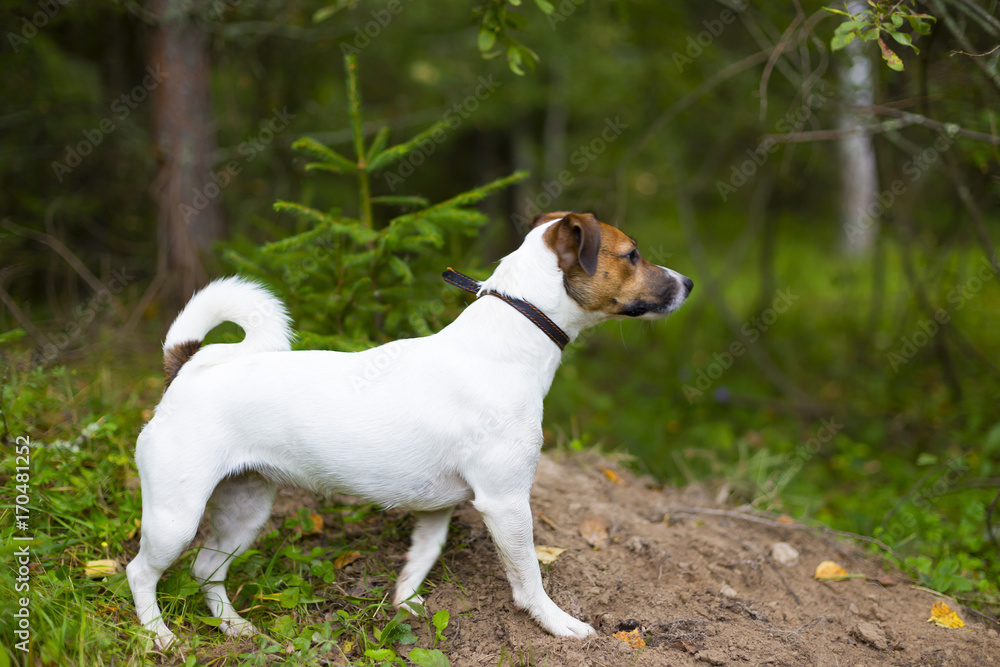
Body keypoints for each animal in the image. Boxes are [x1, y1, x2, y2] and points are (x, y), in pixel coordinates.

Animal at [125, 211, 692, 648]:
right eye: (633, 255)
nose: (687, 284)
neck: (509, 338)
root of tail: (187, 366)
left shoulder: (438, 509)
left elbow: (422, 558)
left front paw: (406, 605)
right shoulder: (506, 502)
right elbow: (528, 574)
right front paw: (556, 623)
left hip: (244, 509)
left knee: (206, 570)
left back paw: (234, 628)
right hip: (175, 515)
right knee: (140, 572)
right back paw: (159, 637)